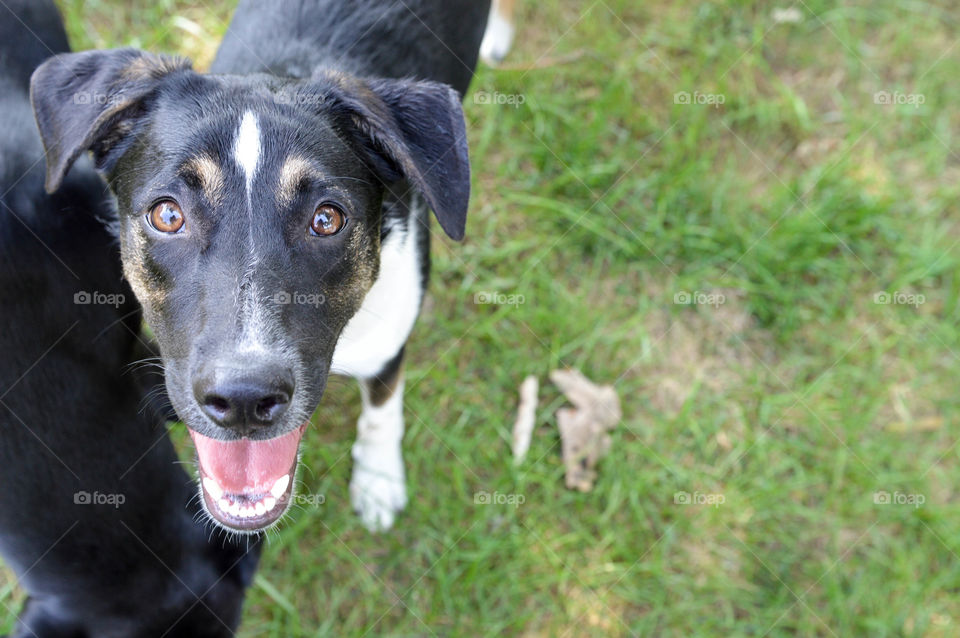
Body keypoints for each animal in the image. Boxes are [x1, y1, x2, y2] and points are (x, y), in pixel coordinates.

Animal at [30, 1, 492, 536]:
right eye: (168, 215)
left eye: (326, 219)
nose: (244, 401)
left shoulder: (388, 342)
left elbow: (382, 409)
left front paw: (379, 479)